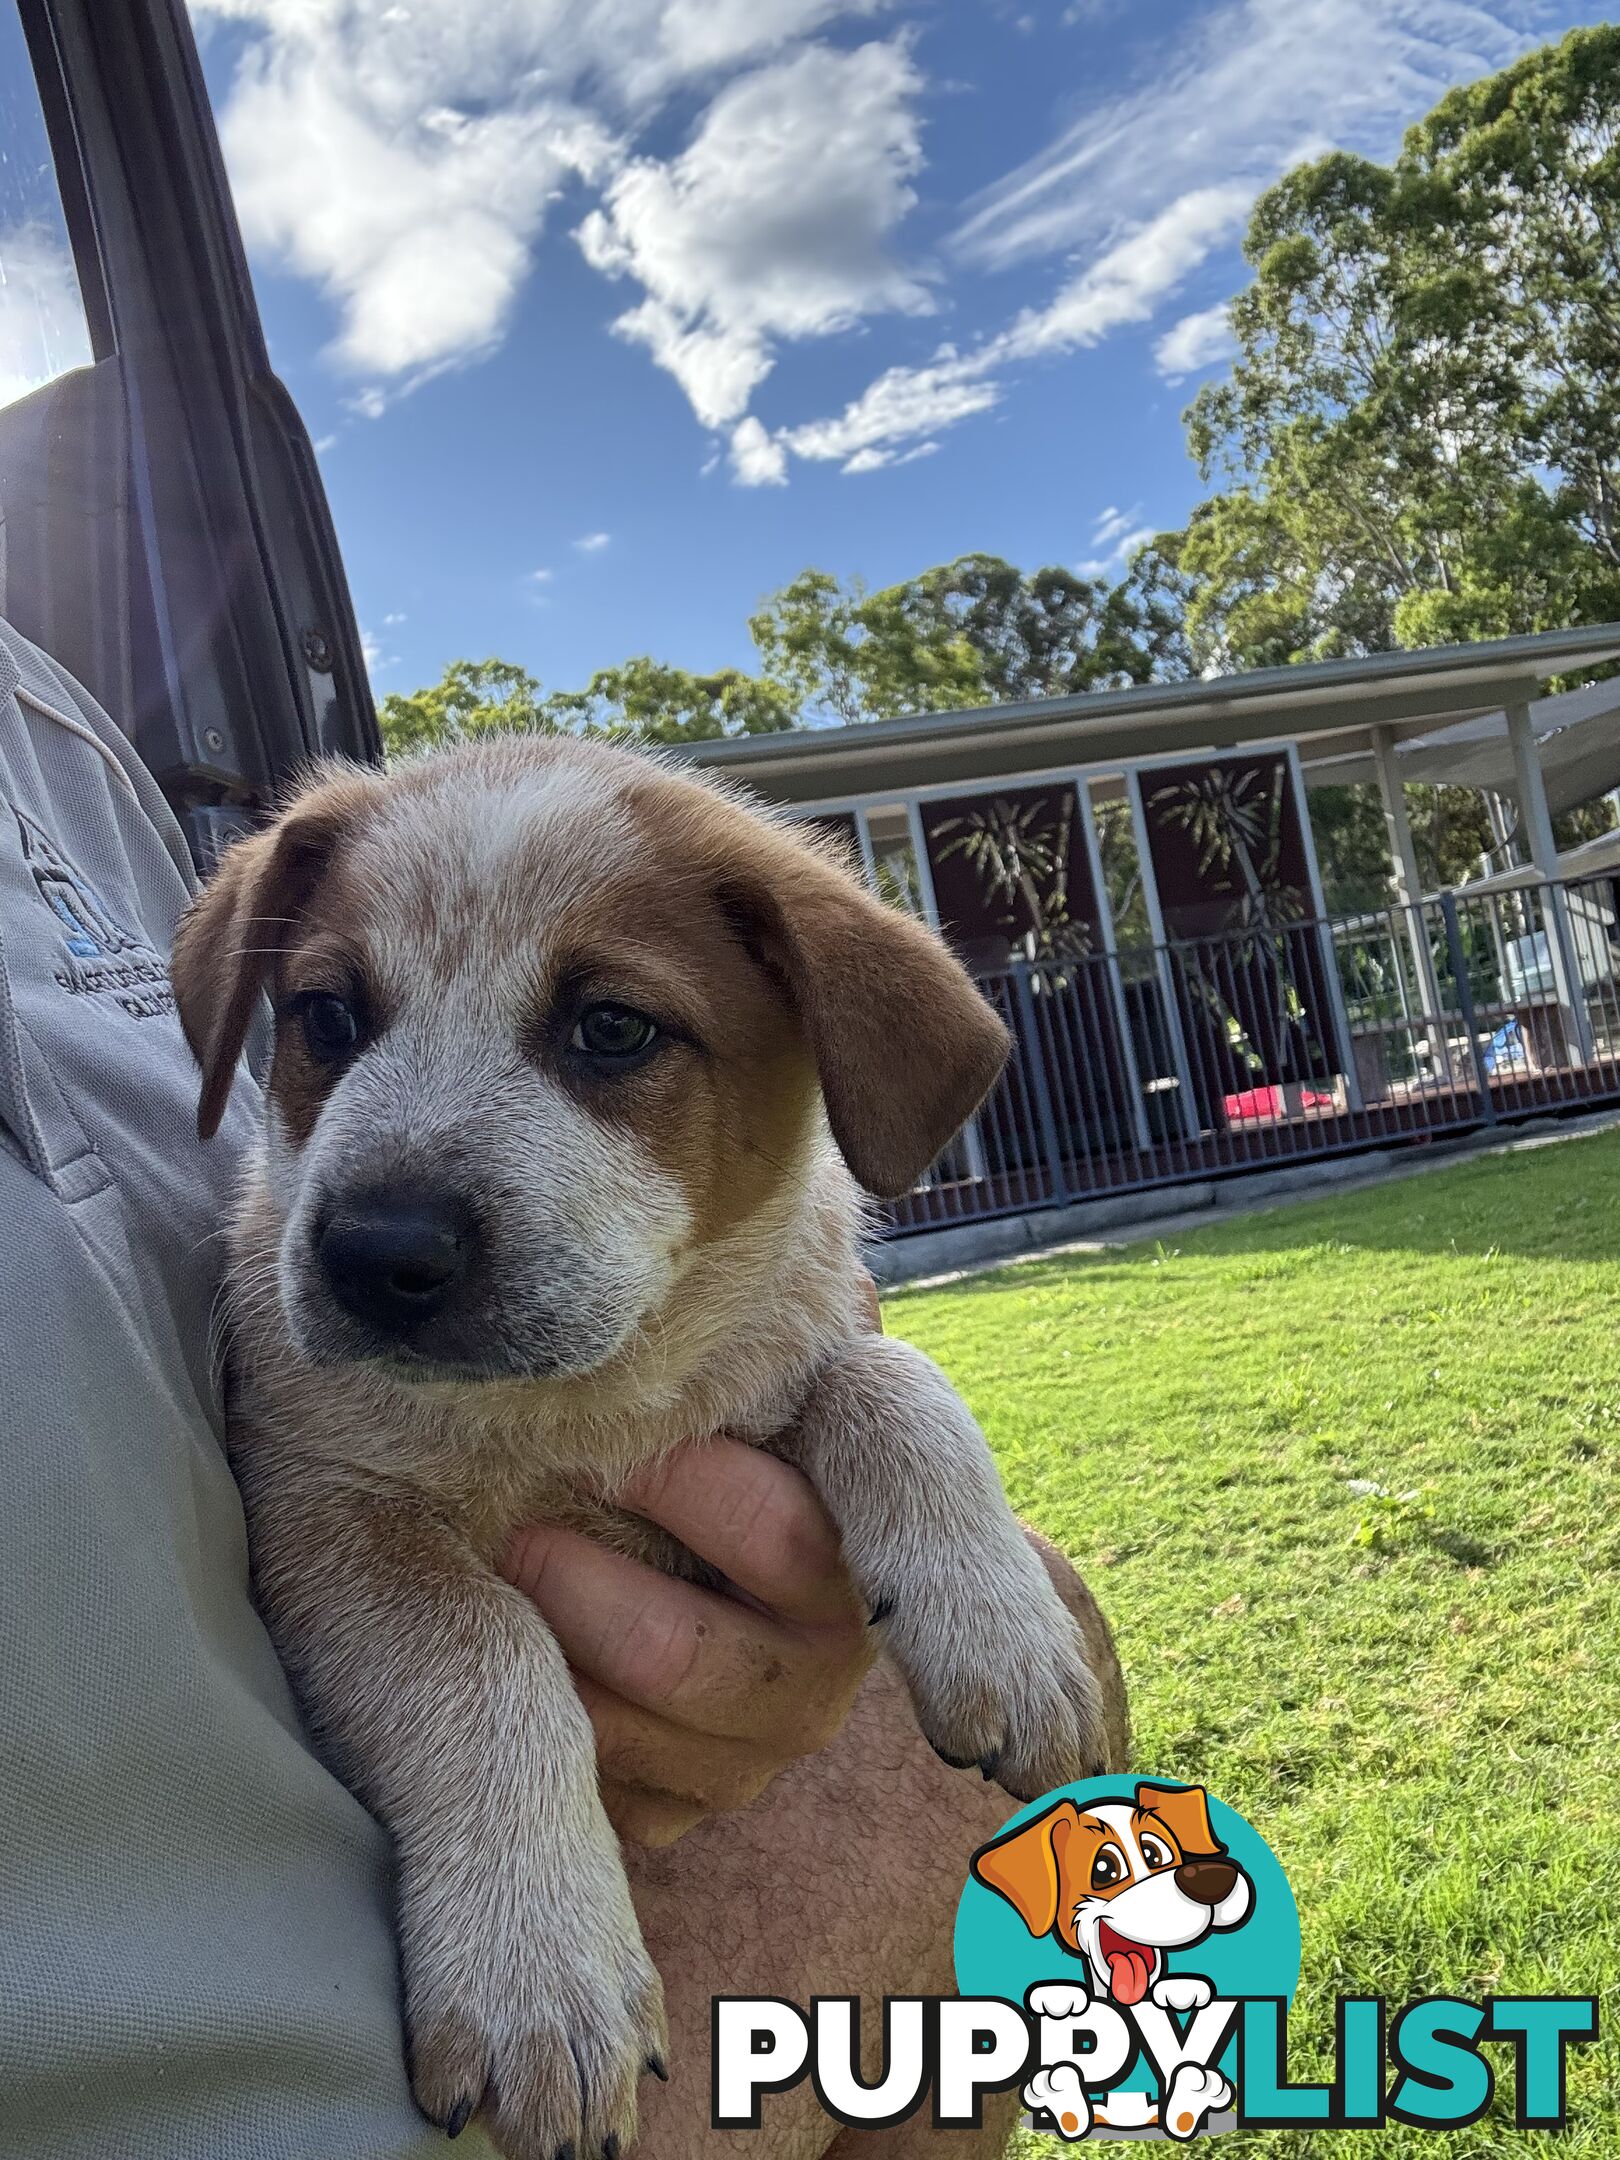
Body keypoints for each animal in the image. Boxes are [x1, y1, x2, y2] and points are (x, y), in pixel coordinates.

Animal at [177, 738, 1114, 2160]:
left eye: (612, 1028)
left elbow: (895, 1381)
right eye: (328, 1018)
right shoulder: (321, 1509)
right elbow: (484, 1654)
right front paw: (538, 1978)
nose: (374, 1253)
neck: (583, 1405)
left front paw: (1002, 1633)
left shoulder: (799, 1349)